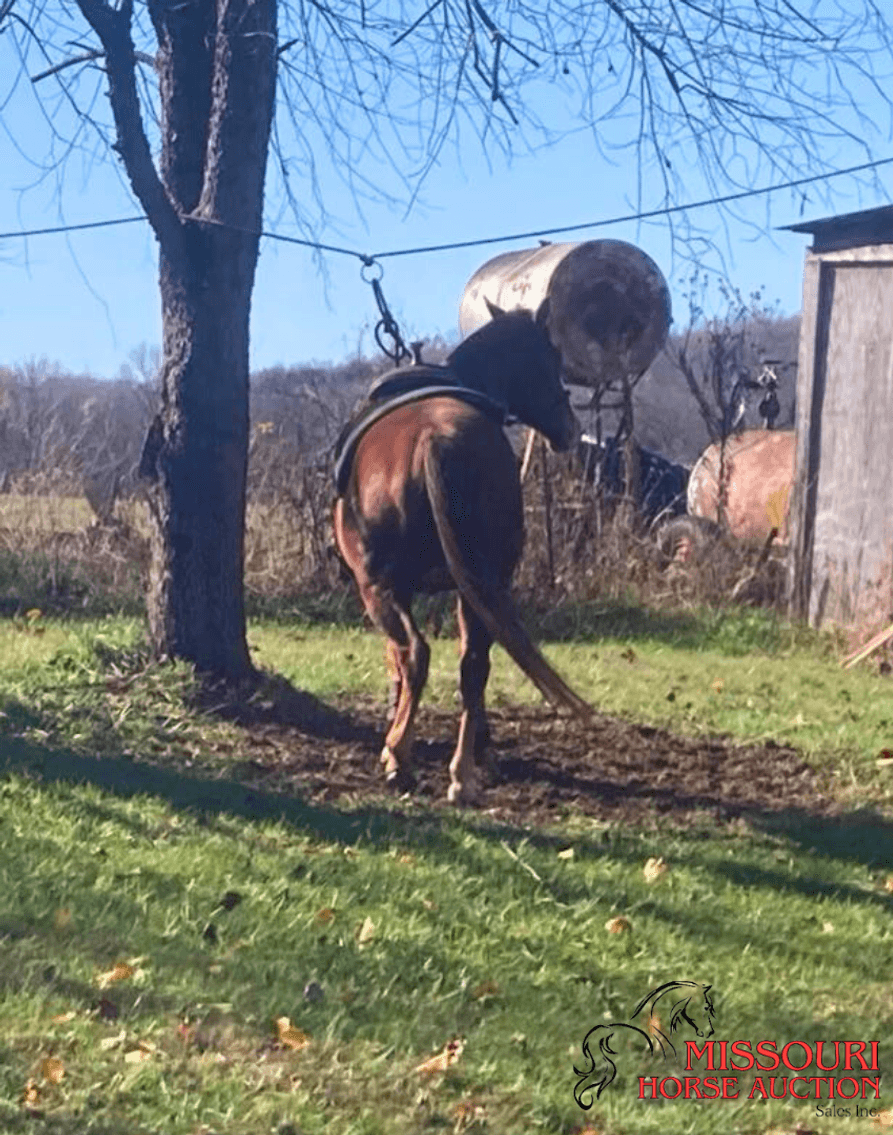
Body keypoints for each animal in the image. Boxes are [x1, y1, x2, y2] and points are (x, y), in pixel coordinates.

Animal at [332, 304, 591, 805]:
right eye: (552, 358)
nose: (571, 429)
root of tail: (435, 438)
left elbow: (397, 660)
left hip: (379, 587)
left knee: (416, 653)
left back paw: (401, 758)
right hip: (481, 584)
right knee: (472, 665)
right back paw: (461, 775)